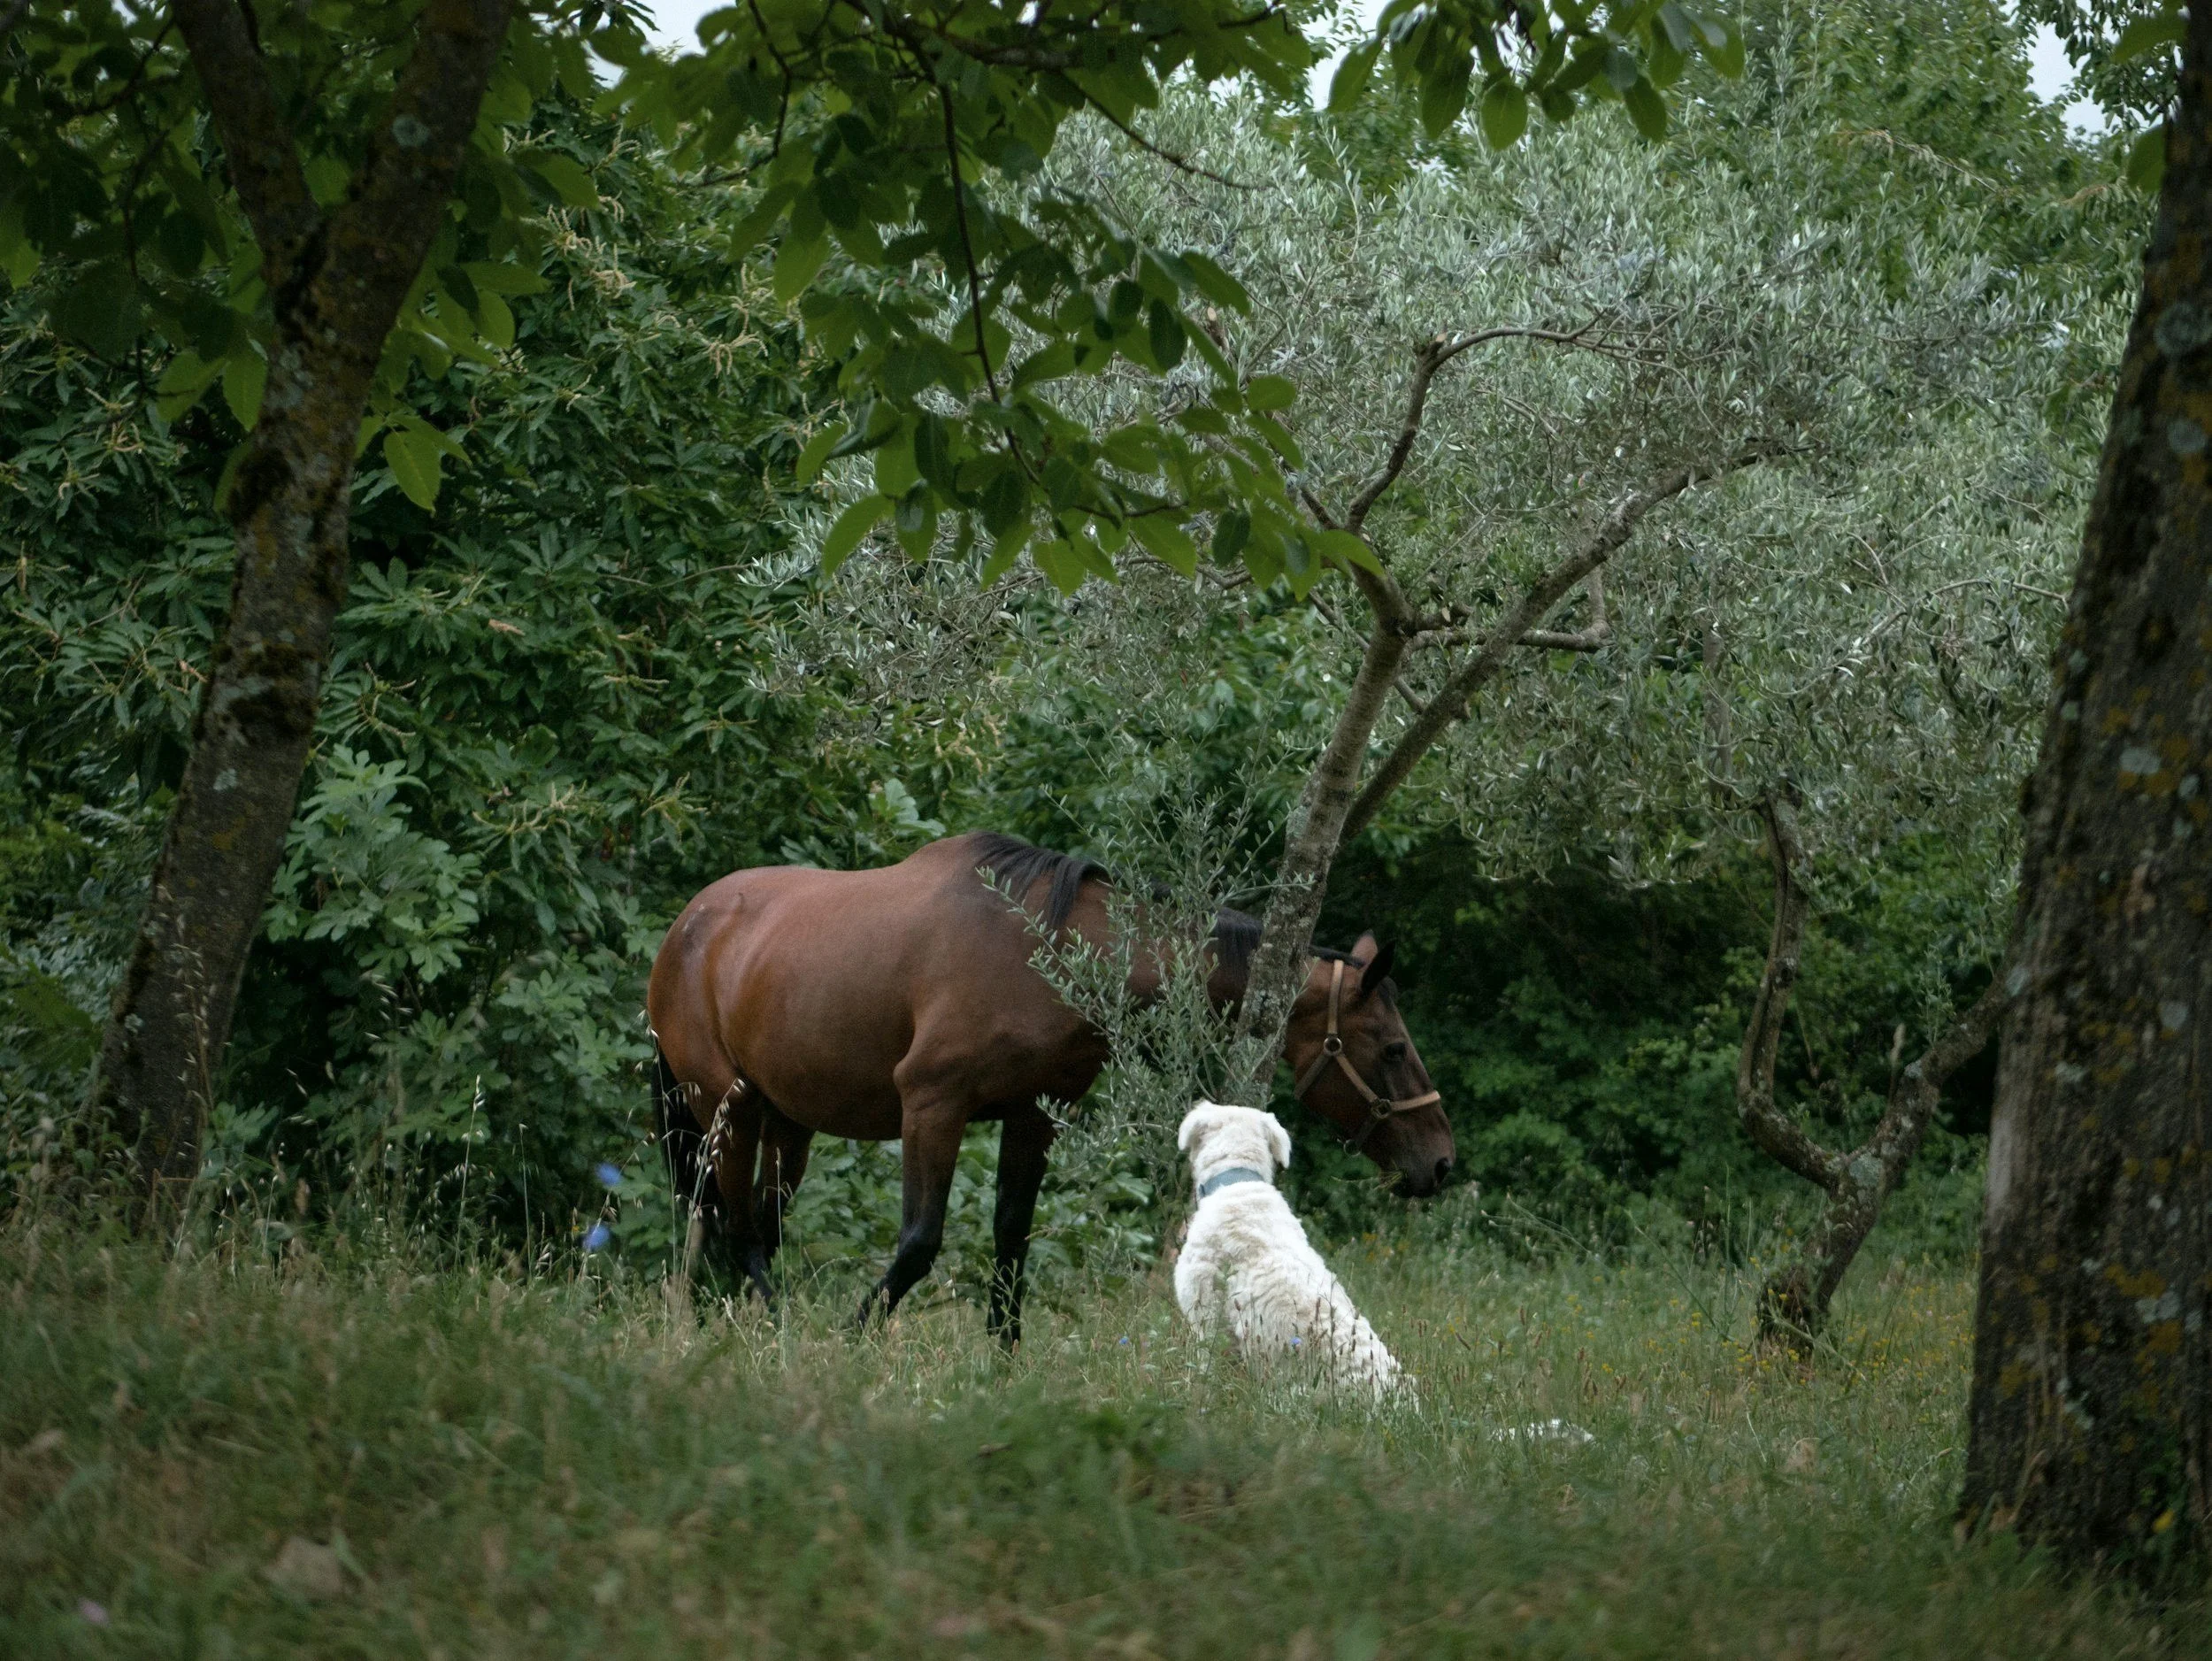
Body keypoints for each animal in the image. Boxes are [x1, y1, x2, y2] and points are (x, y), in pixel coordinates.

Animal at [645, 830, 1453, 1344]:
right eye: (1392, 1048)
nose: (1440, 1161)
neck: (1051, 949)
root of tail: (685, 927)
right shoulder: (932, 1107)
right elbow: (919, 1242)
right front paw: (849, 1341)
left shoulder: (1038, 1116)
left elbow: (1011, 1242)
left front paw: (1003, 1365)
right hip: (727, 1108)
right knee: (738, 1227)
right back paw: (774, 1332)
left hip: (788, 1120)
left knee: (750, 1224)